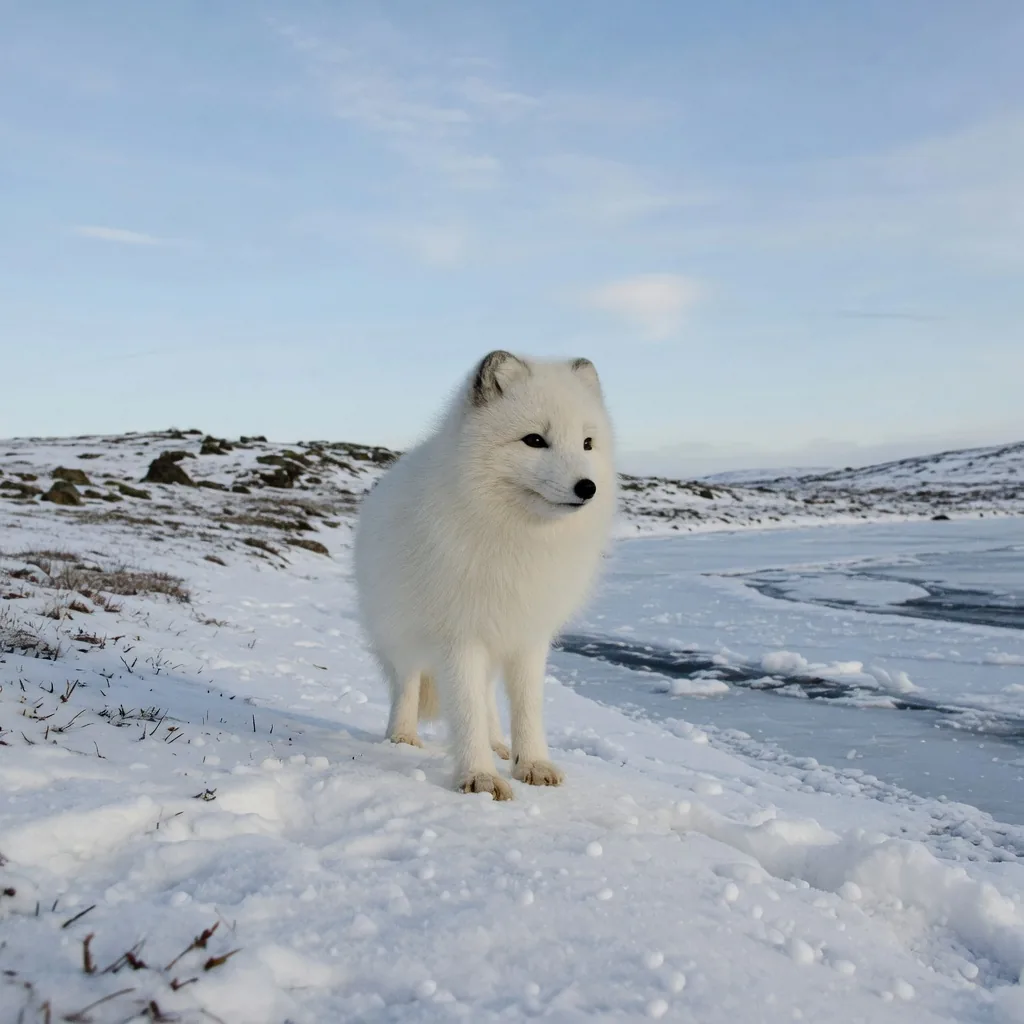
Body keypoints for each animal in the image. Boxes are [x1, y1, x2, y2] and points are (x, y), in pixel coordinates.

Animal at [353, 350, 617, 799]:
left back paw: (497, 743)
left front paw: (531, 764)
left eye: (587, 443)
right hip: (401, 635)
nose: (587, 487)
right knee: (407, 684)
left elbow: (526, 707)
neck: (517, 540)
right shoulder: (459, 637)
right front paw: (479, 776)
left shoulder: (528, 634)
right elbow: (465, 708)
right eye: (534, 440)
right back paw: (402, 736)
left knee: (490, 697)